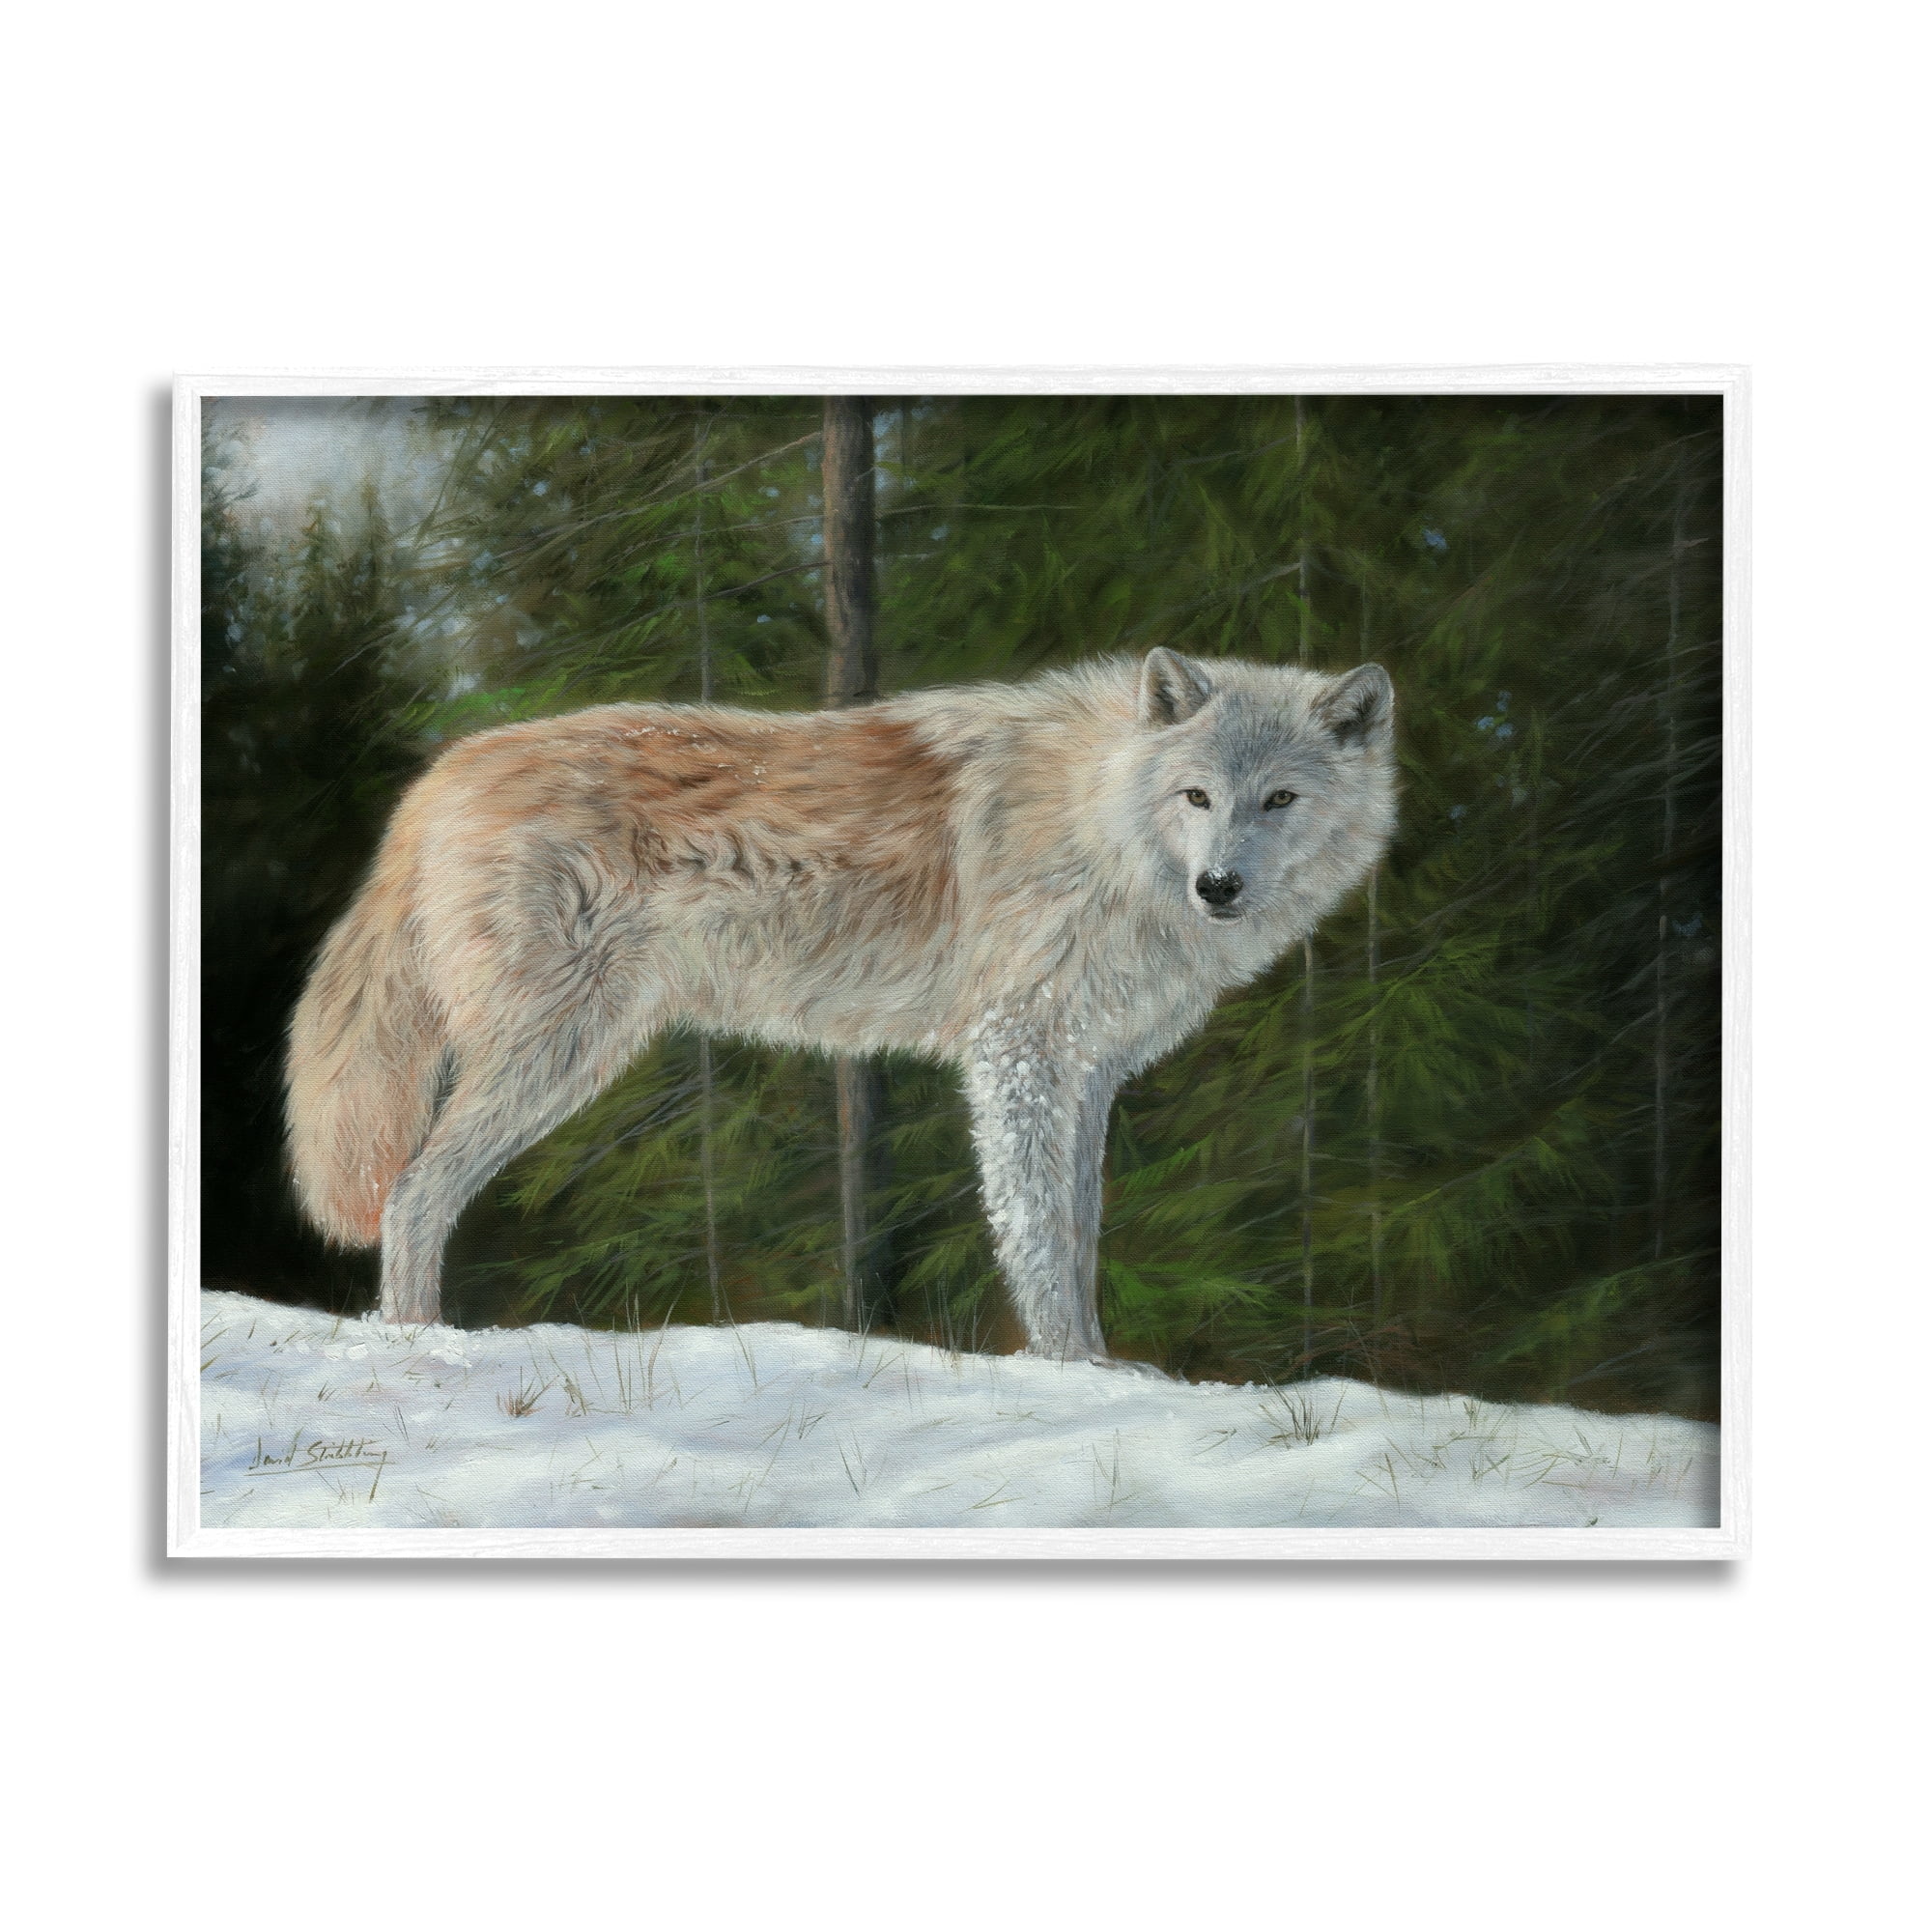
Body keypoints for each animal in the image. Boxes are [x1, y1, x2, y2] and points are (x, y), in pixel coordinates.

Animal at [286, 648, 1397, 1361]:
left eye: (1280, 800)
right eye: (1196, 796)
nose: (1220, 887)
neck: (1101, 819)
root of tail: (440, 774)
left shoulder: (1086, 1071)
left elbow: (1079, 1232)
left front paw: (1102, 1366)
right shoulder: (1019, 1054)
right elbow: (1040, 1237)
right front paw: (1076, 1370)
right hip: (555, 1057)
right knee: (414, 1192)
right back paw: (424, 1347)